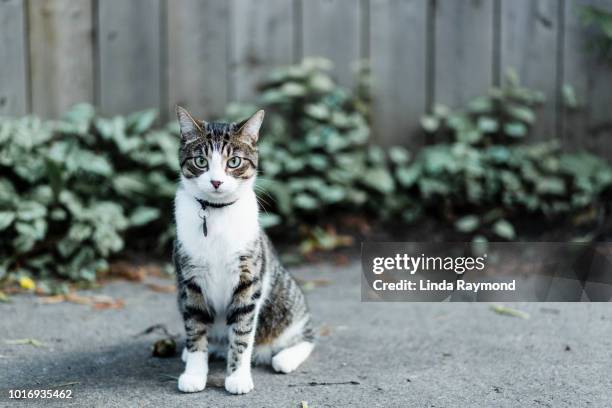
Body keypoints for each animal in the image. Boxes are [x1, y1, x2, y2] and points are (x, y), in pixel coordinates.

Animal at [172, 107, 316, 394]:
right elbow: (195, 329)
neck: (216, 214)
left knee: (306, 336)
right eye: (201, 161)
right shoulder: (190, 281)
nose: (216, 182)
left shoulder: (248, 278)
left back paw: (285, 358)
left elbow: (242, 331)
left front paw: (237, 377)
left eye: (234, 162)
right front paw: (194, 374)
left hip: (285, 304)